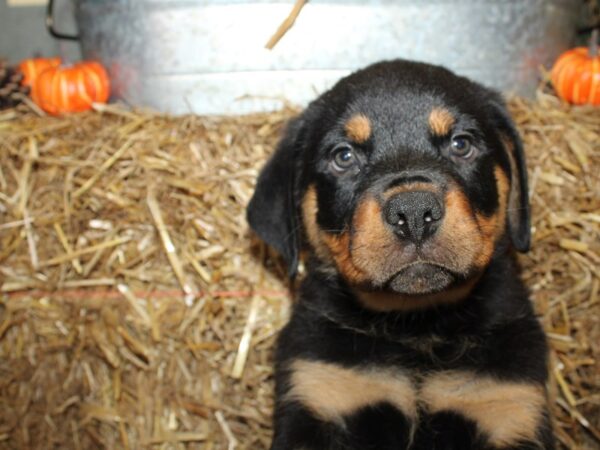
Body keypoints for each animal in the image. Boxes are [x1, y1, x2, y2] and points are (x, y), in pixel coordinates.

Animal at [246, 60, 556, 450]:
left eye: (461, 144)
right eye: (343, 156)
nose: (414, 212)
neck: (416, 328)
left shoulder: (506, 403)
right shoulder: (320, 387)